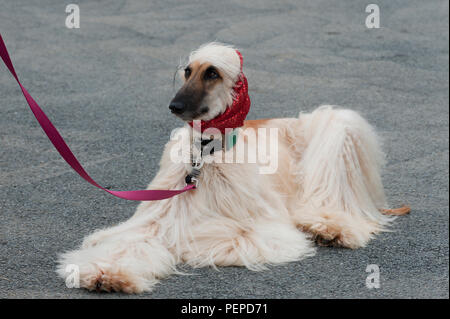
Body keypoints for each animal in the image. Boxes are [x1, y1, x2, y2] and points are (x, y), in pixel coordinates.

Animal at [55, 43, 408, 296]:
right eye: (187, 72)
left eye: (212, 73)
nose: (175, 106)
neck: (205, 160)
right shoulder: (155, 220)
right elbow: (131, 241)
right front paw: (106, 272)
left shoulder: (261, 230)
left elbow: (219, 235)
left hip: (334, 135)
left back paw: (330, 227)